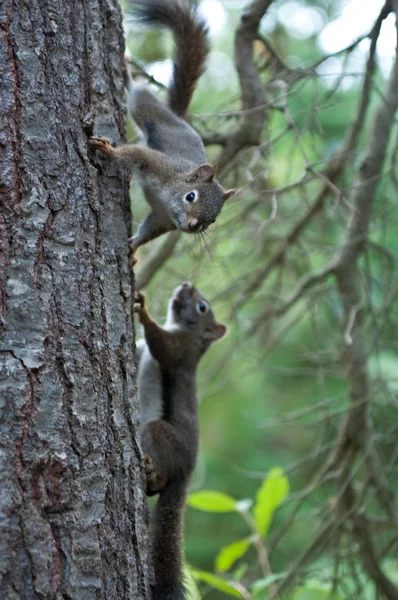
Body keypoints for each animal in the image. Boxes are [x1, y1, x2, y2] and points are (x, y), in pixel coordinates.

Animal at [88, 0, 235, 268]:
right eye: (191, 196)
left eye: (214, 219)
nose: (193, 226)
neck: (168, 195)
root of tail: (176, 117)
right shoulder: (156, 164)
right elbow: (132, 153)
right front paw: (108, 149)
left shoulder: (161, 218)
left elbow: (148, 232)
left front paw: (133, 248)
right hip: (146, 109)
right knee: (138, 92)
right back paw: (126, 69)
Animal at [134, 282, 225, 600]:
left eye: (202, 306)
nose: (187, 285)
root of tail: (186, 471)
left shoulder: (181, 350)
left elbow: (162, 345)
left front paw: (143, 310)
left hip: (159, 433)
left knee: (160, 482)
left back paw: (152, 473)